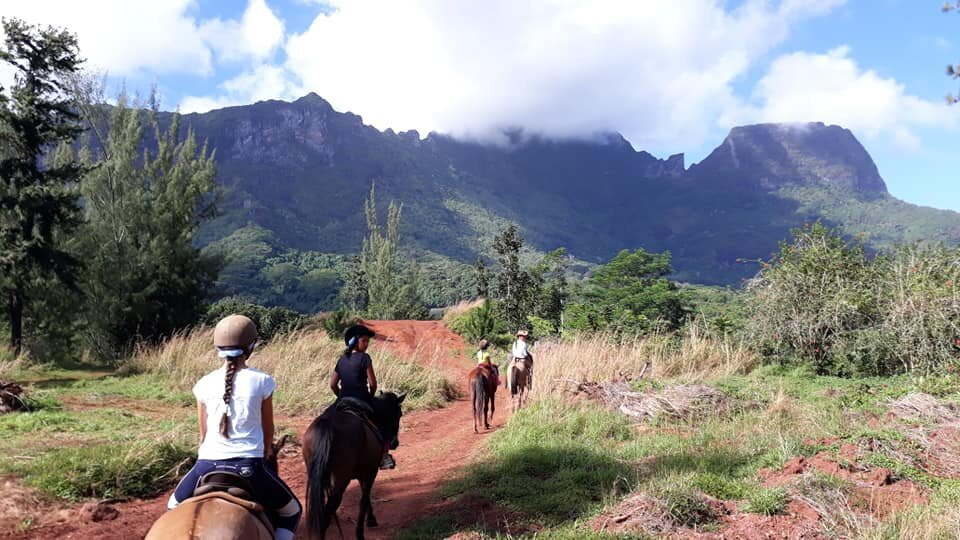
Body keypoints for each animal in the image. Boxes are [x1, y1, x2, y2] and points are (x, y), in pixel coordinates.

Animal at [302, 392, 404, 540]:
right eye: (399, 414)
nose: (395, 443)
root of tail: (326, 425)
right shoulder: (370, 472)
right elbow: (364, 499)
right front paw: (363, 529)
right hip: (341, 481)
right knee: (328, 511)